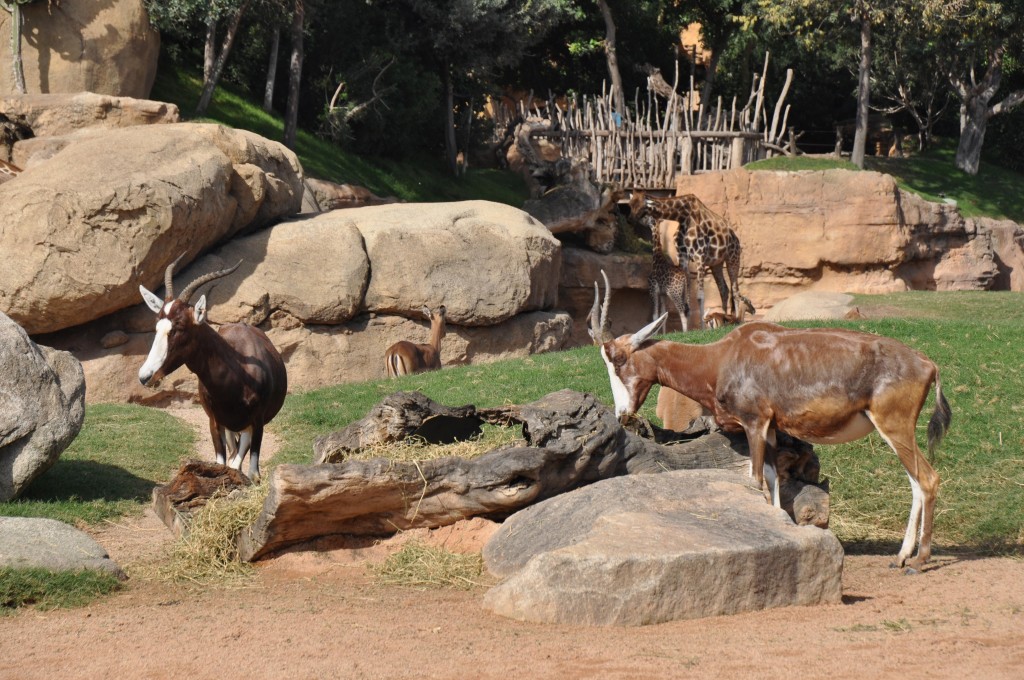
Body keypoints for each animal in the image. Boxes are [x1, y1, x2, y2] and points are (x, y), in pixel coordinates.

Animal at [136, 251, 288, 481]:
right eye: (157, 325)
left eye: (179, 326)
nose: (145, 376)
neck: (238, 376)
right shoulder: (215, 423)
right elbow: (220, 464)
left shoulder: (257, 422)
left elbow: (252, 473)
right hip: (231, 429)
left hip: (245, 428)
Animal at [598, 313, 950, 569]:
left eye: (617, 359)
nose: (622, 414)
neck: (725, 355)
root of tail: (929, 365)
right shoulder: (768, 430)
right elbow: (773, 482)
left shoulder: (754, 423)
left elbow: (754, 481)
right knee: (916, 483)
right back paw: (901, 557)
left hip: (894, 427)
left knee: (928, 479)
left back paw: (919, 560)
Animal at [622, 191, 745, 329]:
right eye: (630, 204)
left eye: (642, 207)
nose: (629, 219)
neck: (682, 216)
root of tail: (735, 237)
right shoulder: (683, 257)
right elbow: (686, 292)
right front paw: (688, 326)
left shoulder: (699, 256)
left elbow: (700, 296)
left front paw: (702, 327)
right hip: (716, 264)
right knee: (724, 289)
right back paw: (724, 319)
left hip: (733, 258)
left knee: (735, 290)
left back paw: (736, 320)